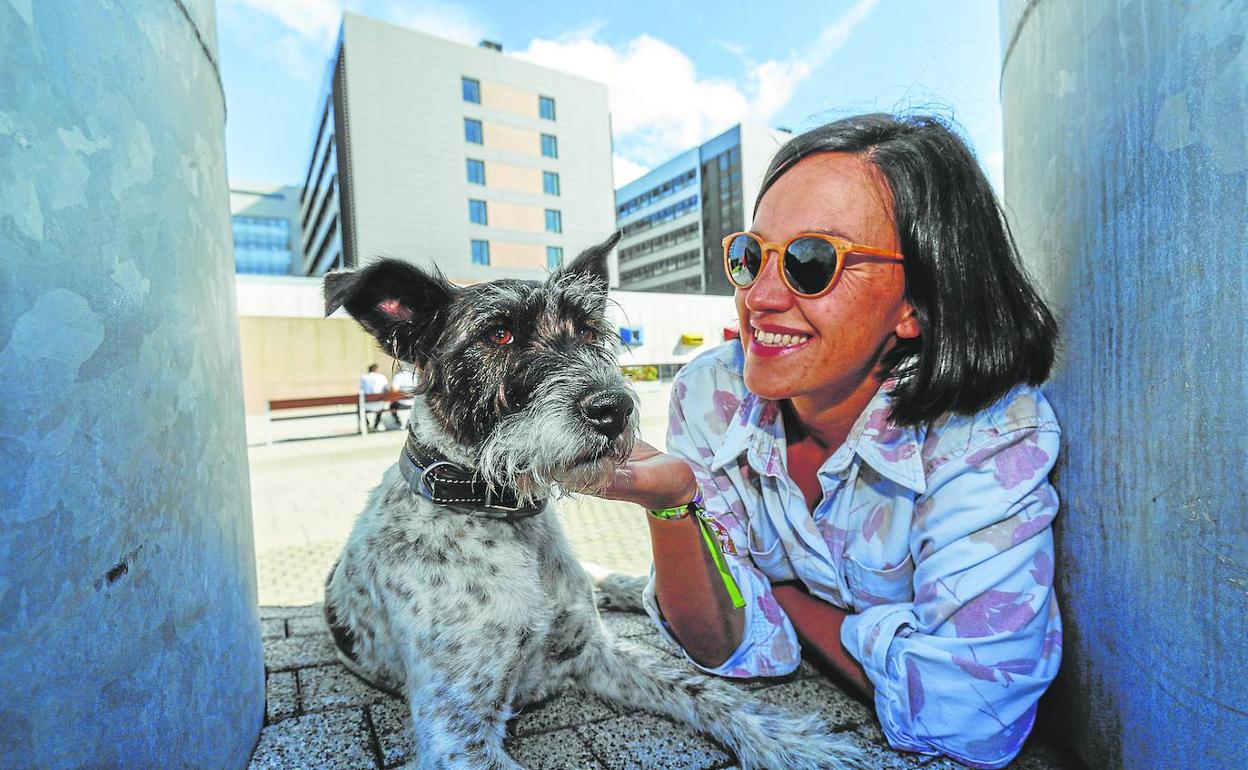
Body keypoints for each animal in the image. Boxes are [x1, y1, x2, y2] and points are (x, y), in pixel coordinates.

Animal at [324, 234, 868, 768]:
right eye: (498, 335)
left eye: (588, 331)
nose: (614, 408)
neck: (498, 516)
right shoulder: (457, 734)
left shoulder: (594, 652)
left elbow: (706, 691)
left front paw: (796, 744)